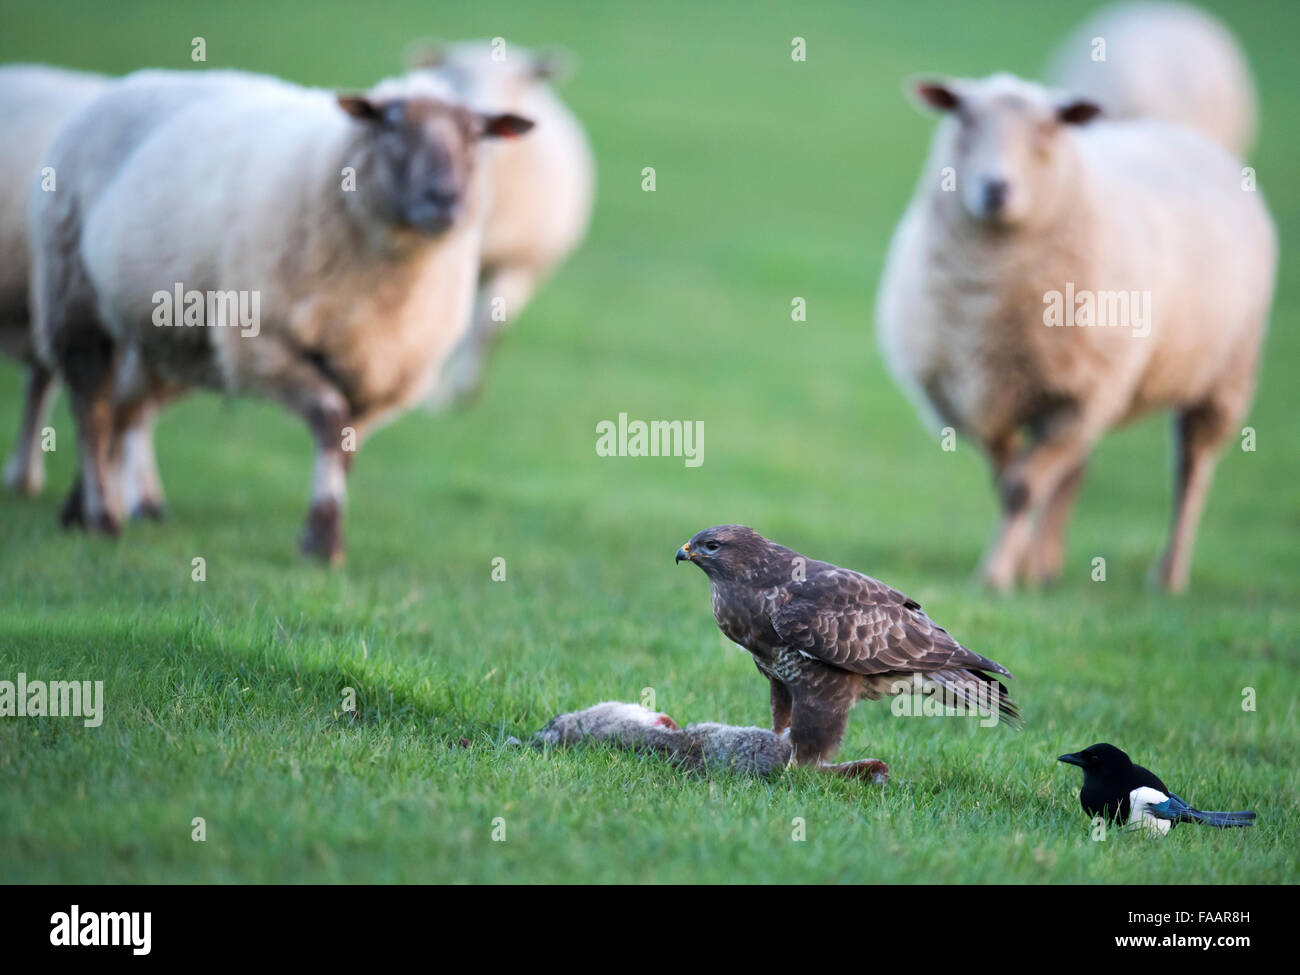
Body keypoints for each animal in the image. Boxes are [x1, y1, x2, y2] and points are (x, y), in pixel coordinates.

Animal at [30, 70, 530, 564]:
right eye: (390, 125)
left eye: (476, 135)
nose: (445, 198)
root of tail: (126, 84)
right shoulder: (262, 343)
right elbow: (329, 421)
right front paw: (323, 543)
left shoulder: (385, 375)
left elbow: (345, 446)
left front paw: (321, 537)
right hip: (74, 298)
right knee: (92, 408)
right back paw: (101, 518)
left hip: (167, 337)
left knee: (121, 410)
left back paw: (78, 512)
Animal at [408, 40, 595, 405]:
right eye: (455, 74)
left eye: (517, 81)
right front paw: (434, 395)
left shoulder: (517, 262)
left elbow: (487, 326)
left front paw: (465, 389)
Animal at [878, 72, 1274, 592]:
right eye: (964, 118)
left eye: (1048, 130)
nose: (995, 188)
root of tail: (1182, 133)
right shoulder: (979, 401)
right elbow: (1009, 481)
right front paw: (1017, 564)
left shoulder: (1075, 396)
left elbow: (1021, 488)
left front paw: (996, 577)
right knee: (1073, 474)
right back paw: (1045, 565)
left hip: (1222, 374)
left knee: (1191, 471)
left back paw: (1168, 576)